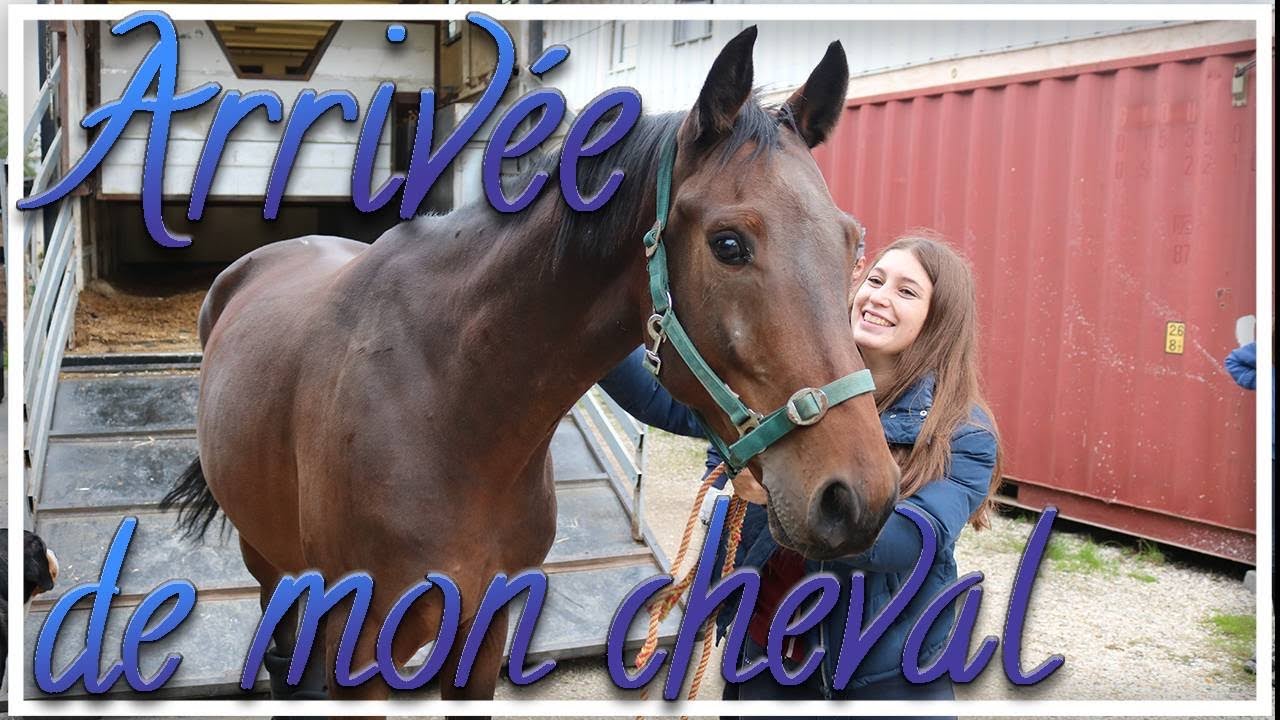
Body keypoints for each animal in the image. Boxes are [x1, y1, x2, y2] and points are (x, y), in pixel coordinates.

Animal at [162, 26, 901, 704]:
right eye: (728, 244)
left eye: (852, 242)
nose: (859, 497)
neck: (447, 405)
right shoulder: (360, 653)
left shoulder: (484, 637)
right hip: (267, 560)